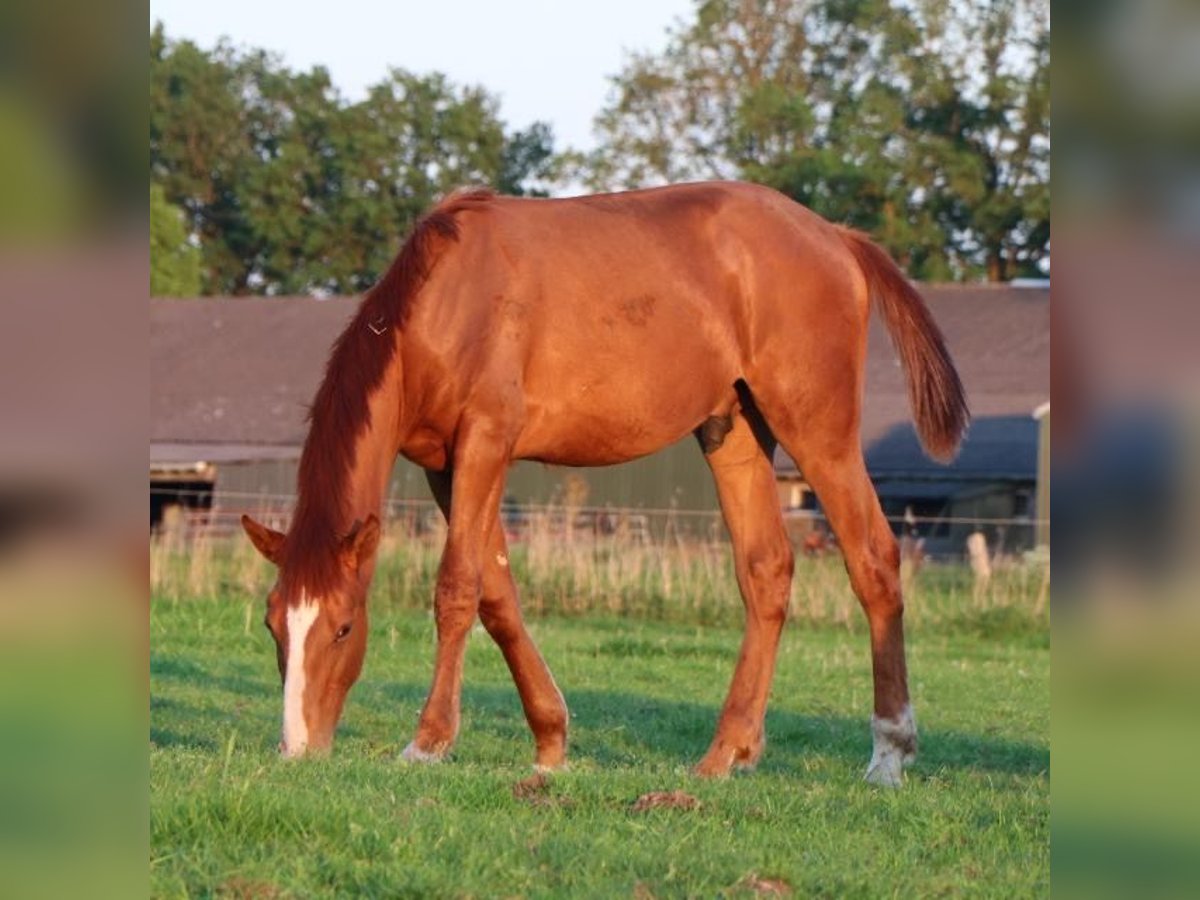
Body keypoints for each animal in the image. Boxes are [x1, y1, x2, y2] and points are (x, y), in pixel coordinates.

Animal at [243, 183, 964, 787]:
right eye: (273, 625)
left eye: (343, 628)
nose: (297, 748)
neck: (449, 303)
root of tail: (837, 238)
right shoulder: (444, 465)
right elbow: (497, 595)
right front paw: (550, 739)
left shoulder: (485, 445)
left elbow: (457, 590)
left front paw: (430, 741)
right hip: (732, 429)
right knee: (766, 573)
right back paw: (726, 752)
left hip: (818, 429)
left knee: (873, 559)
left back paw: (889, 754)